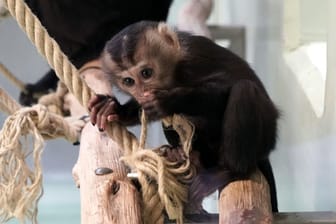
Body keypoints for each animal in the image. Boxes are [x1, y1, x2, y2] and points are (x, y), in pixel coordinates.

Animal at [88, 20, 280, 212]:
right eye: (129, 81)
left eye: (146, 73)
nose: (142, 93)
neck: (175, 72)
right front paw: (113, 109)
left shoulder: (194, 58)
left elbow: (227, 85)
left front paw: (168, 101)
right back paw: (184, 155)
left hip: (265, 138)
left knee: (244, 89)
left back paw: (228, 171)